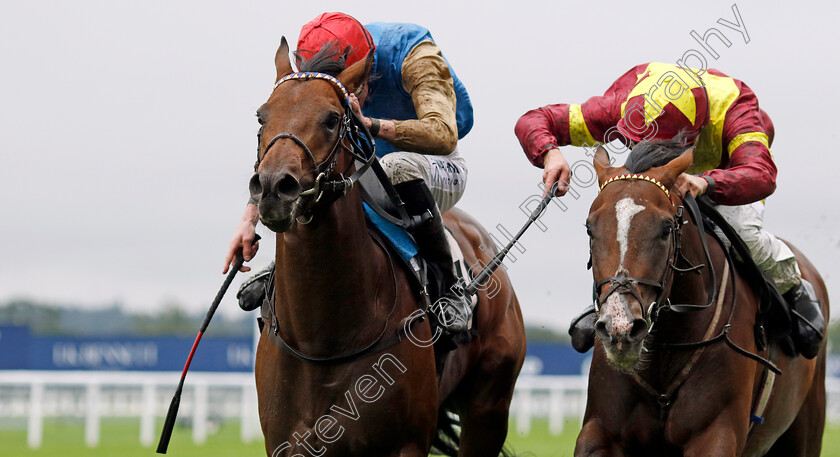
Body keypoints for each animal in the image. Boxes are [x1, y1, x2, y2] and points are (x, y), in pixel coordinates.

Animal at [248, 38, 524, 456]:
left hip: (488, 408)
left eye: (332, 118)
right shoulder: (287, 443)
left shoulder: (405, 443)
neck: (322, 340)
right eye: (262, 117)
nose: (274, 187)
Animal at [576, 143, 828, 456]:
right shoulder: (601, 431)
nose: (619, 329)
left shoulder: (715, 433)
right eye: (590, 228)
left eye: (666, 228)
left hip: (806, 428)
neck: (663, 349)